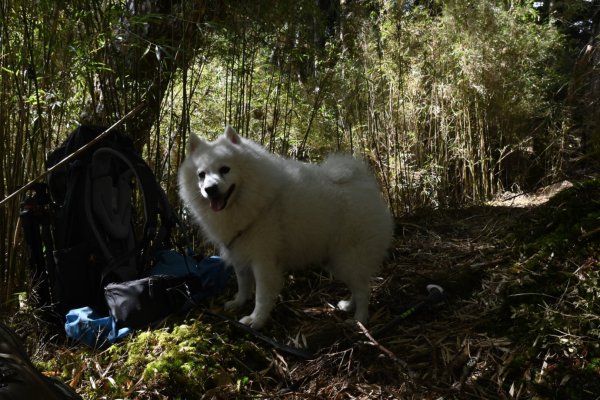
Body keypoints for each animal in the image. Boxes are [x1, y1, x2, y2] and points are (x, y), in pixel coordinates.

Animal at [178, 126, 394, 330]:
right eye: (201, 175)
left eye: (225, 169)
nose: (210, 189)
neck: (251, 200)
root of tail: (364, 183)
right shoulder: (240, 254)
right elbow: (243, 283)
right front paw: (238, 302)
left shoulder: (263, 262)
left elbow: (261, 296)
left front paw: (256, 320)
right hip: (336, 260)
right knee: (357, 286)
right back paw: (348, 305)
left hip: (349, 256)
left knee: (364, 290)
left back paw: (359, 320)